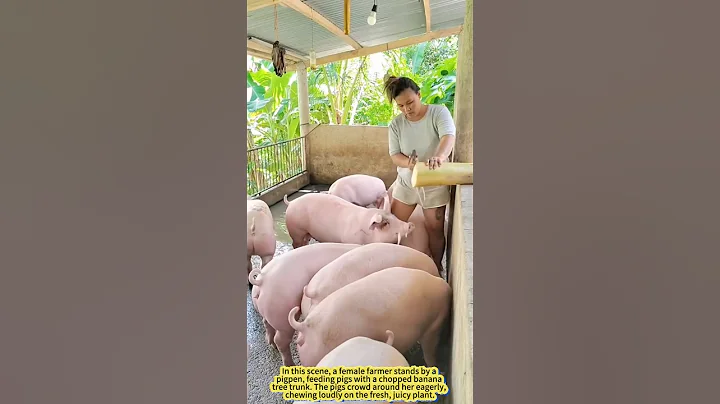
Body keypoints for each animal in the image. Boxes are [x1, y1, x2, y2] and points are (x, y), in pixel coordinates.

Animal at [283, 192, 415, 248]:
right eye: (386, 223)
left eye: (394, 216)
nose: (410, 224)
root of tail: (291, 202)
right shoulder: (349, 240)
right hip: (296, 230)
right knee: (295, 243)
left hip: (306, 232)